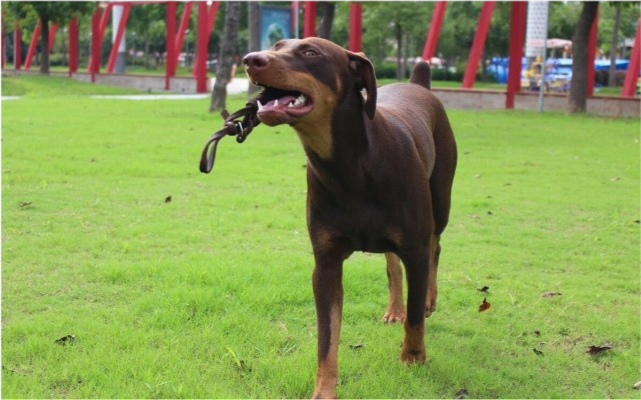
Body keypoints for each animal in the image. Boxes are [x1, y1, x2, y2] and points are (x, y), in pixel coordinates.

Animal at [242, 36, 458, 396]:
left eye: (310, 52)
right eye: (276, 45)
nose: (250, 59)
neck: (350, 167)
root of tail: (417, 84)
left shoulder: (414, 250)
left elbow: (415, 314)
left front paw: (413, 357)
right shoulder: (326, 264)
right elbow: (326, 340)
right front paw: (323, 391)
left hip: (441, 201)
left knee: (435, 247)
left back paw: (428, 299)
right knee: (391, 262)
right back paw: (394, 308)